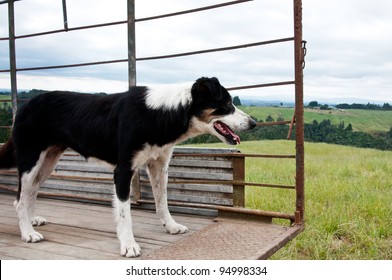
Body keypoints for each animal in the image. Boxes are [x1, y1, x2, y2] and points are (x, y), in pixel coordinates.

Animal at [0, 76, 258, 256]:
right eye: (226, 103)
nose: (254, 123)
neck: (161, 113)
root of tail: (25, 105)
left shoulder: (159, 165)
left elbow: (162, 202)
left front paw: (171, 226)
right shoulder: (123, 170)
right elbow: (125, 214)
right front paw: (129, 245)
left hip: (48, 161)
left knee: (28, 193)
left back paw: (32, 221)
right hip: (31, 159)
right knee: (20, 198)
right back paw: (28, 233)